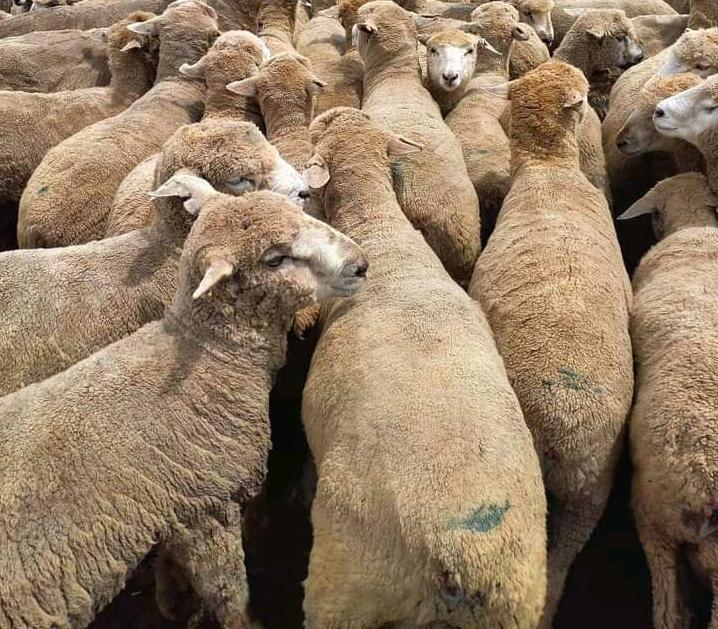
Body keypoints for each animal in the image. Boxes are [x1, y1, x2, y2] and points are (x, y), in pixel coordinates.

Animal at [0, 179, 366, 629]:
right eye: (275, 258)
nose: (360, 264)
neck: (208, 358)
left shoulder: (173, 515)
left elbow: (169, 568)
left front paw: (172, 603)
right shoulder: (206, 509)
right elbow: (229, 595)